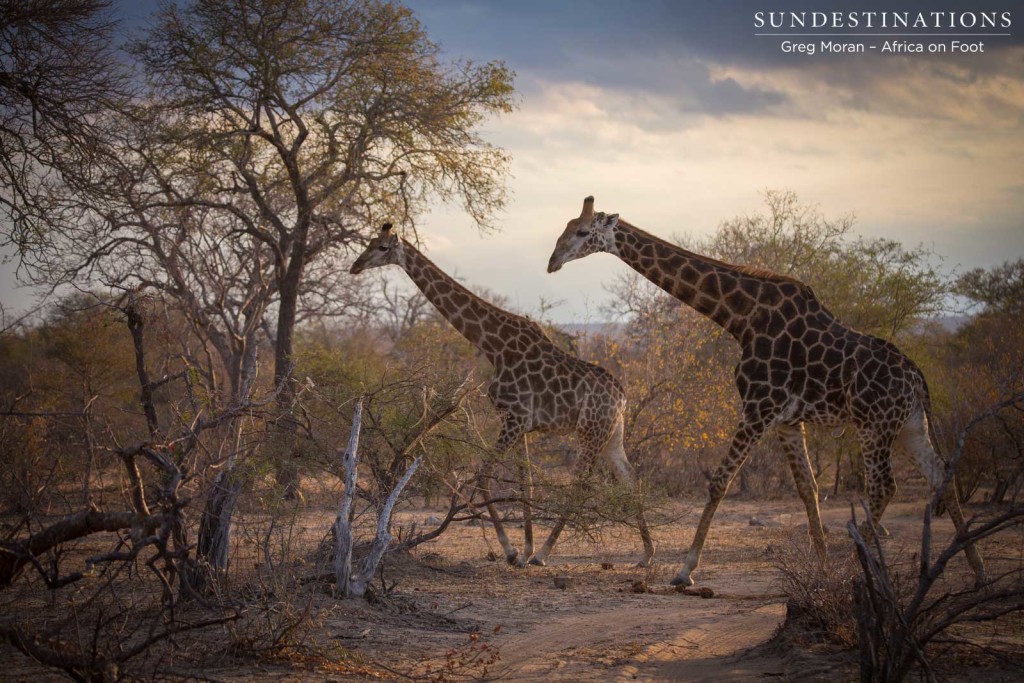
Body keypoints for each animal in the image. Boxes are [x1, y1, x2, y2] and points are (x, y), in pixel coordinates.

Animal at [352, 223, 655, 565]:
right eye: (369, 243)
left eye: (382, 248)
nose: (355, 266)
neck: (493, 346)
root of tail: (622, 397)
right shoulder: (518, 423)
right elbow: (527, 483)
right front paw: (524, 549)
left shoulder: (514, 418)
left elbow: (484, 477)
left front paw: (512, 551)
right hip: (611, 433)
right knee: (631, 478)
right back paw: (647, 553)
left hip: (591, 432)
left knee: (580, 484)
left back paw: (546, 553)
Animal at [548, 193, 987, 589]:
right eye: (565, 227)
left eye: (583, 232)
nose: (552, 262)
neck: (740, 317)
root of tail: (917, 378)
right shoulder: (787, 420)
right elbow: (808, 488)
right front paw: (822, 567)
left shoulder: (758, 406)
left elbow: (719, 482)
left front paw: (685, 570)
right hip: (910, 425)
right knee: (940, 474)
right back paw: (978, 571)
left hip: (874, 425)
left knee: (884, 487)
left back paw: (857, 561)